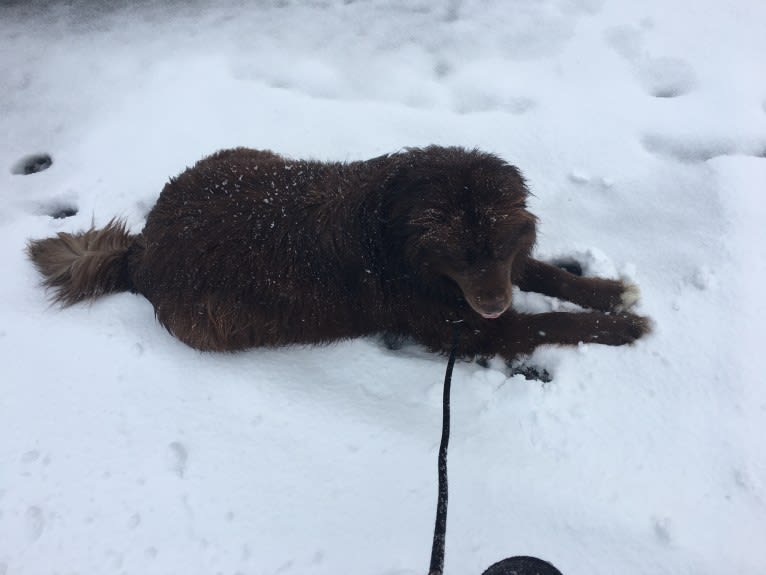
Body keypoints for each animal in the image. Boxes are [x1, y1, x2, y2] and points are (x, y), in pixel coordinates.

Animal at [27, 146, 652, 358]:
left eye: (498, 246)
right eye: (458, 255)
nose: (496, 304)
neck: (396, 230)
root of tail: (141, 248)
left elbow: (545, 274)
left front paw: (608, 290)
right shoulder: (472, 331)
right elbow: (553, 324)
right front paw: (625, 328)